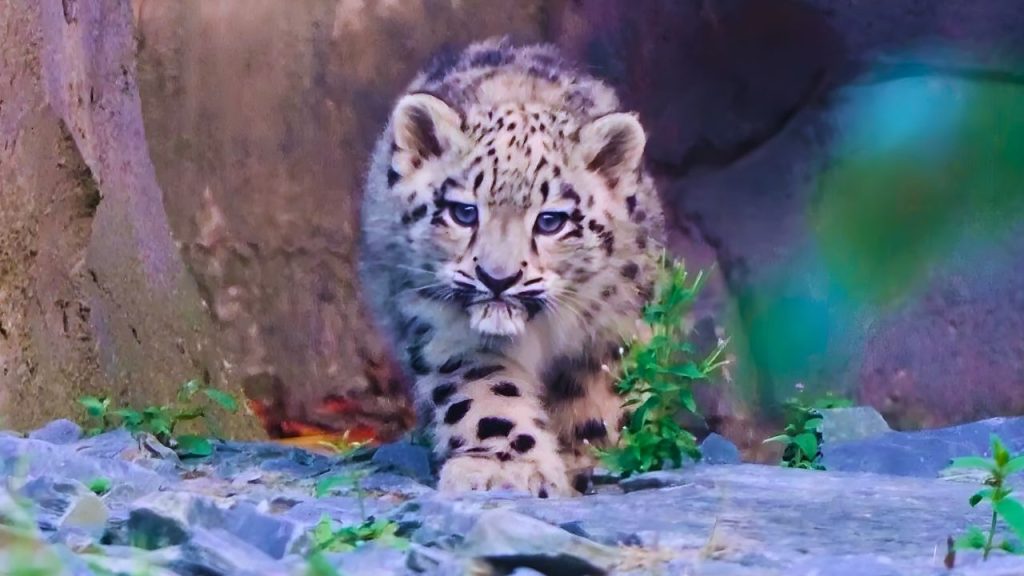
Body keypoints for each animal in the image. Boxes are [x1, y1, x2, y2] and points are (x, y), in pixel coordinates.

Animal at [358, 37, 665, 497]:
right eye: (464, 212)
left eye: (551, 220)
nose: (497, 278)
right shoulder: (449, 332)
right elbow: (486, 394)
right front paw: (505, 469)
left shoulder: (613, 328)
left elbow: (601, 394)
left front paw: (594, 456)